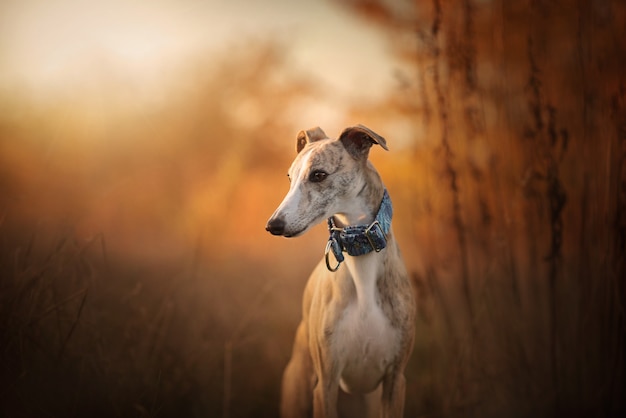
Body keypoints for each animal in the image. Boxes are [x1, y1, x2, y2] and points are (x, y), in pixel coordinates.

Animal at [264, 124, 414, 418]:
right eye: (289, 177)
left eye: (319, 175)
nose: (273, 225)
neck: (361, 256)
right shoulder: (327, 383)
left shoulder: (395, 380)